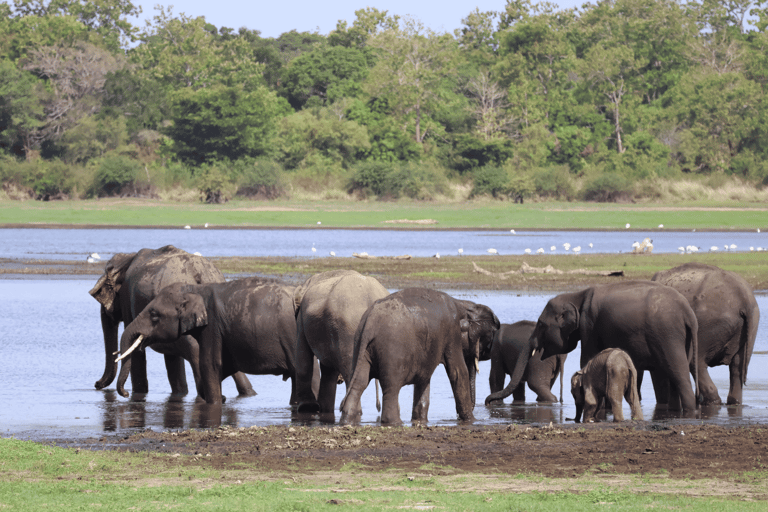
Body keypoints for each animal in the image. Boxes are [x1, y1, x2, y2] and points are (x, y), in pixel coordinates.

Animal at [89, 245, 254, 398]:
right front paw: (179, 394)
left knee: (194, 350)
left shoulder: (126, 298)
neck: (126, 258)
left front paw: (138, 394)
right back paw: (248, 393)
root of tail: (201, 273)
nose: (96, 384)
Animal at [117, 277, 310, 406]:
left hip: (292, 336)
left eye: (154, 315)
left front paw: (217, 401)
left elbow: (209, 365)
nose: (126, 394)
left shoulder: (213, 326)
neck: (195, 289)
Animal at [293, 270, 390, 414]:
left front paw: (307, 408)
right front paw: (323, 410)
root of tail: (372, 296)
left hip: (348, 331)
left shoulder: (301, 321)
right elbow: (328, 370)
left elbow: (302, 358)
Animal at [340, 288, 500, 425]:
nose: (459, 417)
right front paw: (472, 421)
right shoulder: (451, 331)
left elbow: (424, 379)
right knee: (391, 386)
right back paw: (394, 422)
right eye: (488, 339)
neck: (463, 304)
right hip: (391, 350)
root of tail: (369, 323)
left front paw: (419, 421)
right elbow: (458, 372)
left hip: (360, 346)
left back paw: (347, 421)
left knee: (359, 383)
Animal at [485, 281, 699, 416]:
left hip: (668, 335)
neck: (578, 295)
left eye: (540, 324)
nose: (487, 402)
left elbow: (587, 357)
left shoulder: (590, 324)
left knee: (678, 374)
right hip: (682, 339)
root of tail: (688, 313)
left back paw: (688, 412)